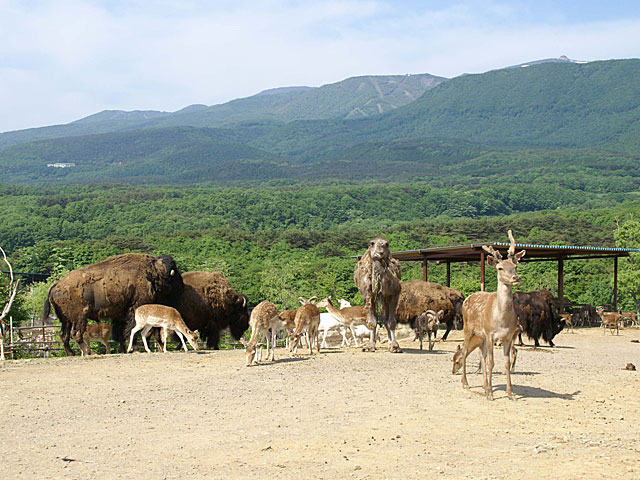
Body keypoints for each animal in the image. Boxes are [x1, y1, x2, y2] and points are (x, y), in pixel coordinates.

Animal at [41, 253, 184, 354]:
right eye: (174, 275)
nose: (181, 285)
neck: (152, 272)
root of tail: (56, 285)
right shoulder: (134, 310)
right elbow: (131, 331)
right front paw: (134, 349)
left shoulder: (120, 314)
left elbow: (120, 333)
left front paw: (123, 350)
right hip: (80, 317)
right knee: (76, 333)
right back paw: (88, 352)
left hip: (66, 320)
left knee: (63, 335)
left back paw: (71, 353)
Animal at [460, 231, 524, 400]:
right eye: (500, 268)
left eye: (515, 266)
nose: (516, 277)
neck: (502, 320)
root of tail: (467, 298)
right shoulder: (490, 334)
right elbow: (491, 362)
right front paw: (490, 394)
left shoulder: (507, 337)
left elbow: (506, 363)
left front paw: (510, 393)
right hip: (468, 329)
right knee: (465, 351)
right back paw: (466, 383)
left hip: (481, 336)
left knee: (481, 355)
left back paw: (483, 386)